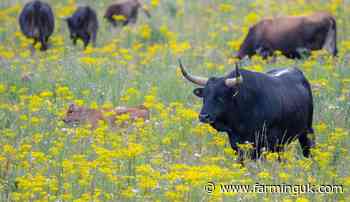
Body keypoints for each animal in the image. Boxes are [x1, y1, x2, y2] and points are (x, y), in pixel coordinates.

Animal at [179, 59, 316, 161]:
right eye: (204, 96)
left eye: (220, 97)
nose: (203, 116)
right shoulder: (237, 145)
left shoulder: (271, 143)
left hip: (306, 131)